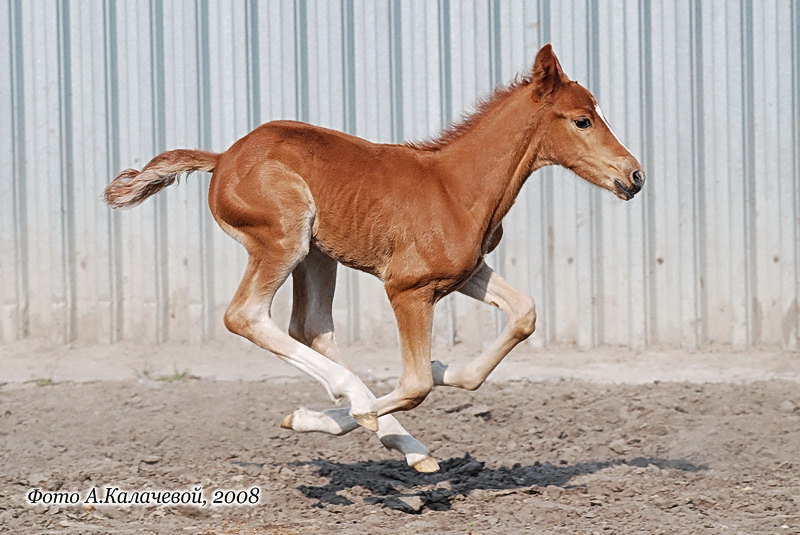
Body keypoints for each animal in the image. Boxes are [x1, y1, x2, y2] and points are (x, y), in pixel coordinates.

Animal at [104, 46, 644, 474]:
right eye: (582, 120)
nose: (635, 175)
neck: (456, 186)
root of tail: (222, 159)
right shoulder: (407, 288)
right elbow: (416, 382)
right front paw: (324, 416)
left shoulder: (466, 272)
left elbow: (522, 315)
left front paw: (443, 367)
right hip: (284, 239)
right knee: (248, 315)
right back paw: (356, 402)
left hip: (317, 255)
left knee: (311, 327)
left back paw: (399, 438)